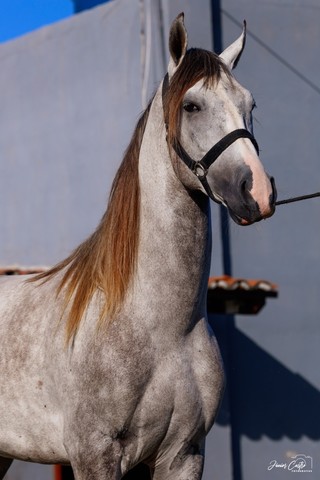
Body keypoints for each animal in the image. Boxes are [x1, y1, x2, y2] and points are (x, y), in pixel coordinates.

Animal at [0, 13, 276, 478]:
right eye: (192, 105)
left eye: (250, 105)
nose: (256, 191)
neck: (161, 326)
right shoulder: (95, 455)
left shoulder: (183, 455)